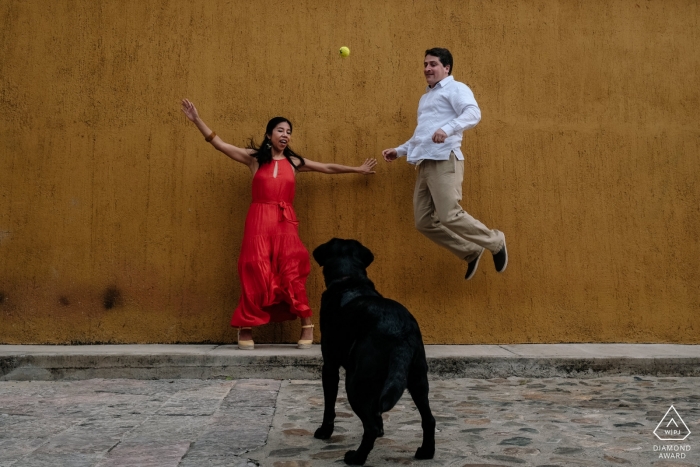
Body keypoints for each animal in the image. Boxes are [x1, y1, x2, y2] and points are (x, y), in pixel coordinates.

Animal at [310, 239, 432, 466]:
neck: (349, 280)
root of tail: (400, 330)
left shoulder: (329, 366)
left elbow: (329, 405)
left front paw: (324, 432)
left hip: (355, 382)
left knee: (370, 427)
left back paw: (356, 457)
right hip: (417, 379)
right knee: (429, 419)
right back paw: (426, 452)